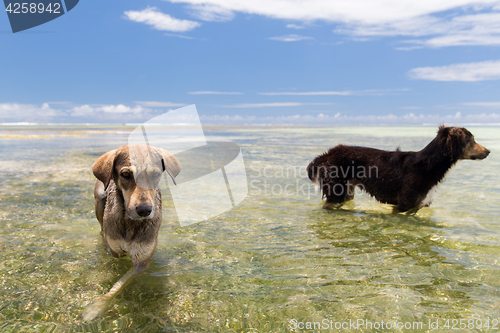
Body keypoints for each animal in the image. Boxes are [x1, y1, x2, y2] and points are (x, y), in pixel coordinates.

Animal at [83, 144, 181, 320]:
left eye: (156, 174)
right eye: (125, 174)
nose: (144, 210)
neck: (130, 223)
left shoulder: (141, 260)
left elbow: (120, 283)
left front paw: (98, 306)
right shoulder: (116, 250)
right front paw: (97, 308)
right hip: (100, 199)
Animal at [306, 126, 490, 211]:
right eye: (472, 140)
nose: (489, 151)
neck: (430, 163)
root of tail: (326, 154)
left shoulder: (418, 207)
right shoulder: (403, 205)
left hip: (347, 191)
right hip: (336, 191)